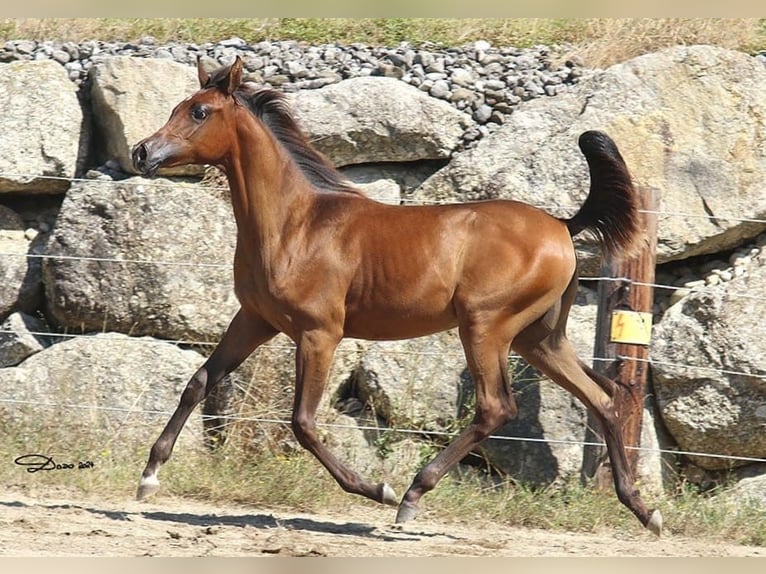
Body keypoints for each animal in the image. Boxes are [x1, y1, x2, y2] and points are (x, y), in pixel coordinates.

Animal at [130, 56, 660, 536]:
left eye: (199, 111)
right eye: (178, 106)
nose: (141, 152)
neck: (295, 225)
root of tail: (563, 225)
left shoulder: (319, 334)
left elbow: (302, 422)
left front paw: (375, 490)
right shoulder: (254, 320)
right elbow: (198, 381)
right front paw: (149, 477)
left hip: (485, 328)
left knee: (497, 406)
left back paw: (410, 495)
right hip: (539, 339)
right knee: (604, 397)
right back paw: (642, 510)